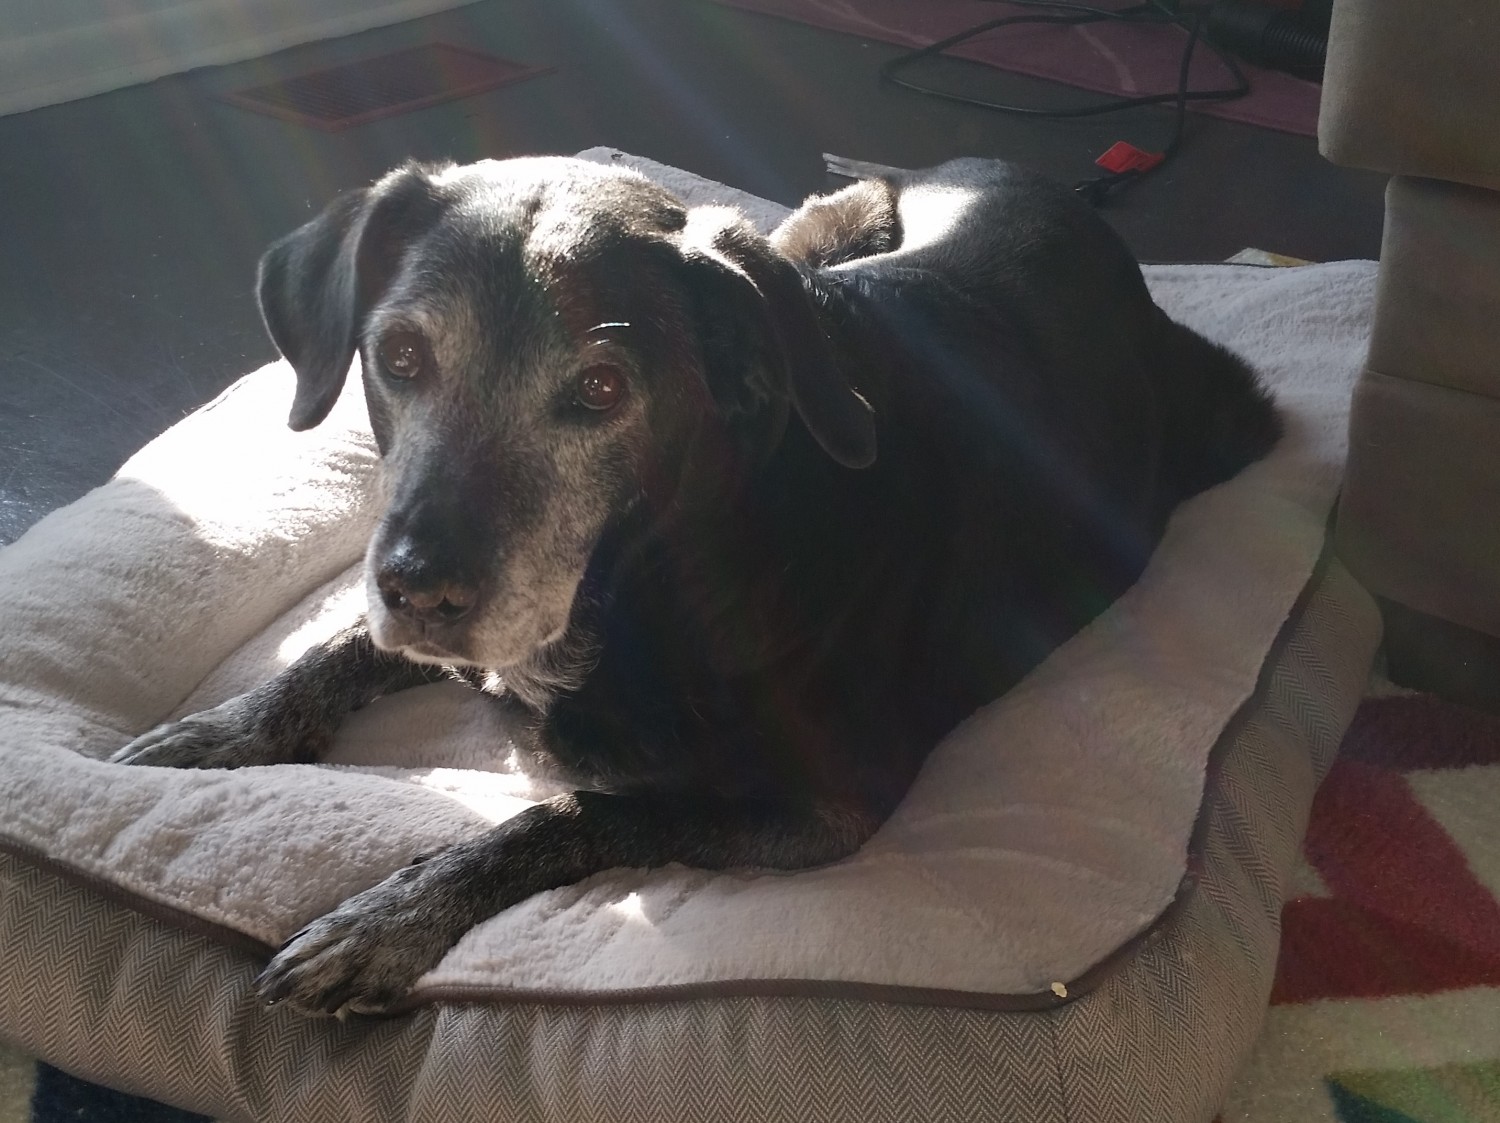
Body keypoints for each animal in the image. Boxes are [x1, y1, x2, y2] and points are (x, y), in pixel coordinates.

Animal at [114, 157, 1278, 1013]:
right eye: (398, 354)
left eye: (600, 388)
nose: (423, 591)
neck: (651, 570)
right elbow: (335, 646)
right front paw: (222, 731)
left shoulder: (816, 810)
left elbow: (574, 813)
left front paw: (384, 918)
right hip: (803, 241)